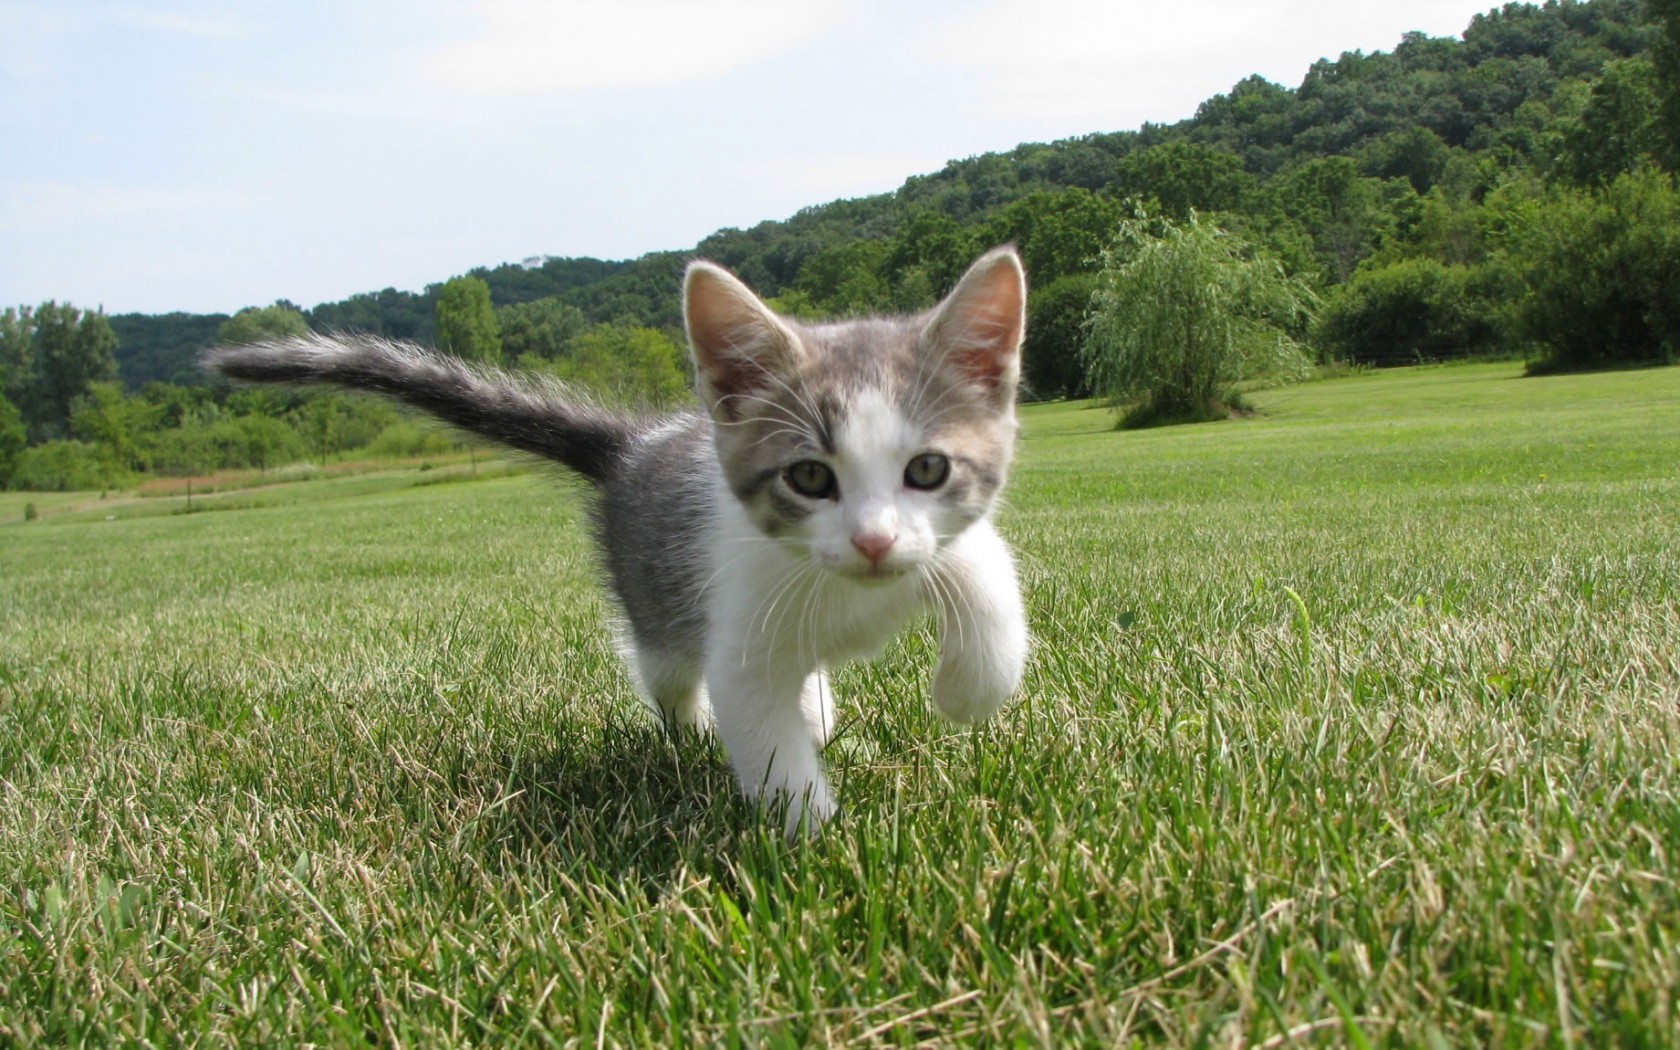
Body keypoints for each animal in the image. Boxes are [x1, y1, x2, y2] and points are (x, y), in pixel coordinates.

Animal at [203, 245, 1028, 836]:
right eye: (809, 477)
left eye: (927, 469)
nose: (873, 542)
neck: (853, 595)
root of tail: (632, 444)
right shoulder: (739, 630)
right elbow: (762, 733)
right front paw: (817, 836)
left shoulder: (952, 541)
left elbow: (990, 591)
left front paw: (964, 693)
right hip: (655, 614)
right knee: (669, 679)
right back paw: (703, 729)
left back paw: (819, 706)